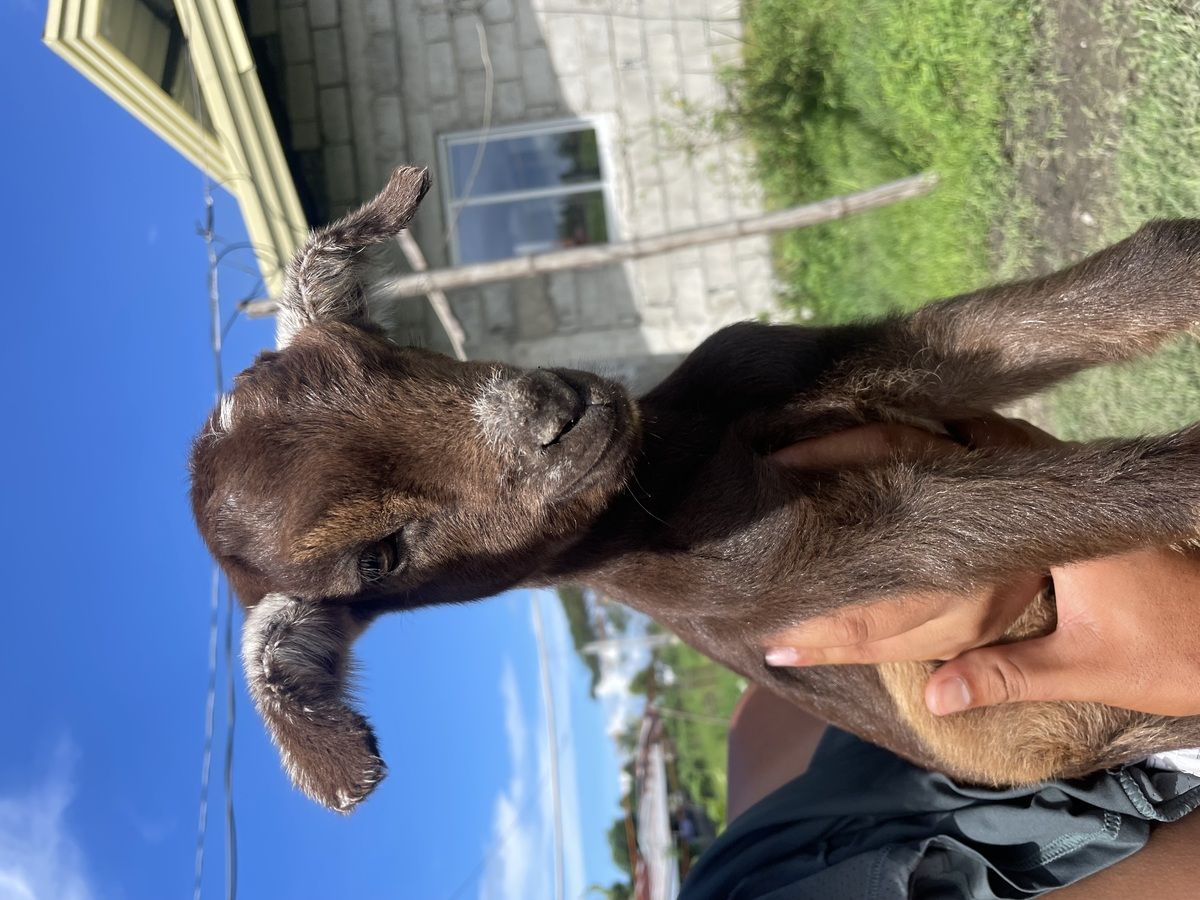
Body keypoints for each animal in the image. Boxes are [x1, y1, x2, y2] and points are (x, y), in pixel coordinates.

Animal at [190, 166, 1200, 813]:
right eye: (378, 557)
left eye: (385, 352)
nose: (559, 412)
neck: (669, 464)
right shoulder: (791, 573)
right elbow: (1005, 512)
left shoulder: (795, 366)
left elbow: (1009, 326)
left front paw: (1179, 262)